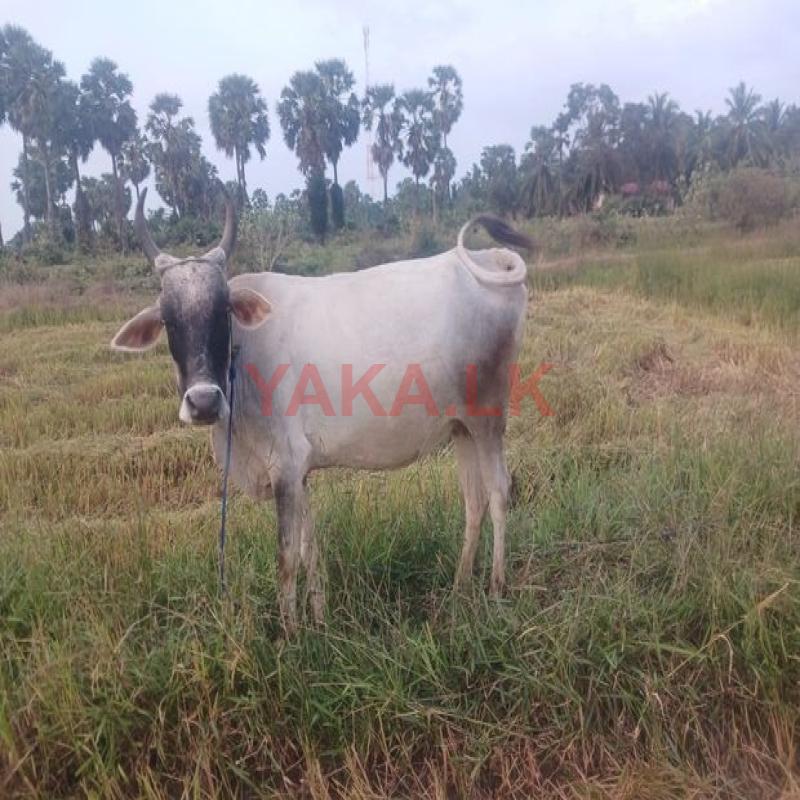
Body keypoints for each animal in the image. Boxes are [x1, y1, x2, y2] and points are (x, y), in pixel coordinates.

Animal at [111, 190, 534, 630]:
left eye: (222, 311)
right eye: (169, 319)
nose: (204, 401)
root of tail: (491, 258)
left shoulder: (283, 467)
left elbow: (286, 558)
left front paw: (291, 633)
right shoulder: (300, 471)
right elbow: (308, 547)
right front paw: (318, 618)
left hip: (488, 418)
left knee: (499, 491)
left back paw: (496, 589)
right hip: (461, 427)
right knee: (474, 501)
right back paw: (458, 590)